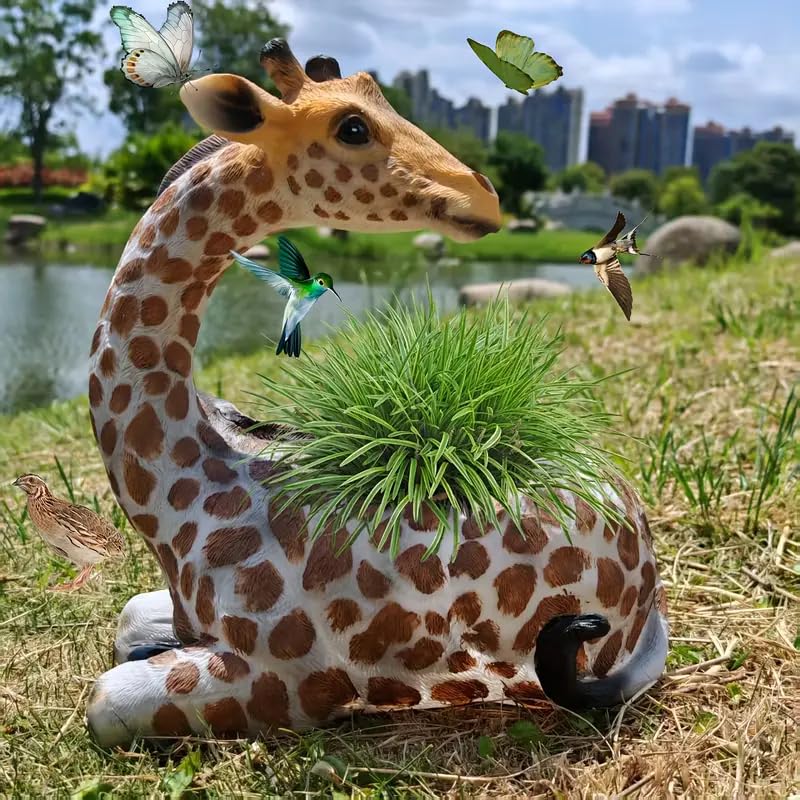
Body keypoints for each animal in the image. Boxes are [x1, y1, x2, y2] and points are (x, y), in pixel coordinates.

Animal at [85, 40, 668, 747]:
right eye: (353, 127)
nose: (485, 197)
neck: (182, 495)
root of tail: (651, 594)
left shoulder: (289, 680)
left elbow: (104, 698)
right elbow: (127, 621)